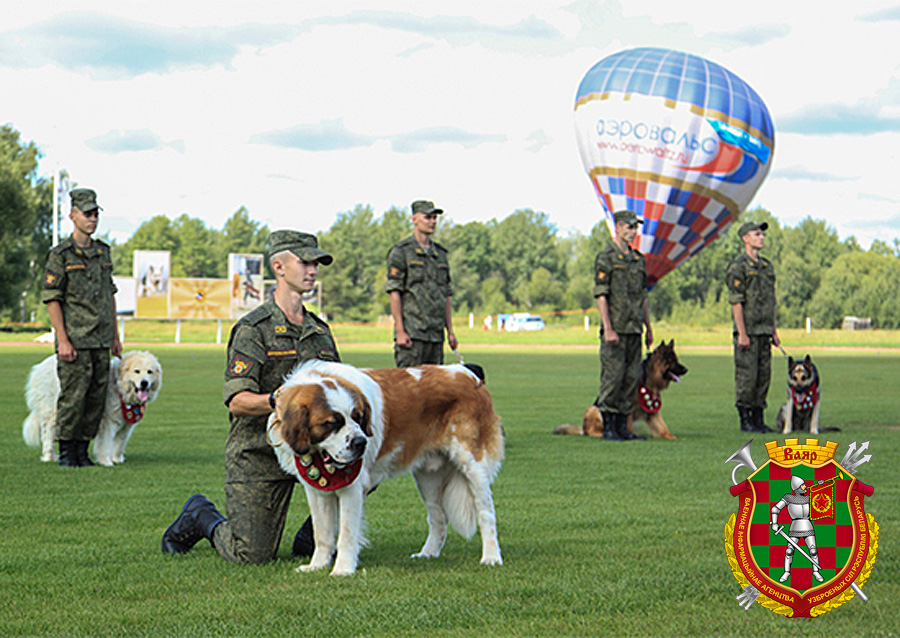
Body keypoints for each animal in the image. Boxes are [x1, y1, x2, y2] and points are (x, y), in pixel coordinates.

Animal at [22, 352, 163, 468]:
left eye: (149, 372)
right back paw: (50, 457)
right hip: (54, 413)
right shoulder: (108, 423)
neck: (119, 386)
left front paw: (117, 459)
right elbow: (105, 444)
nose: (144, 383)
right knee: (48, 436)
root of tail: (39, 367)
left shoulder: (126, 426)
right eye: (137, 371)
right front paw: (106, 462)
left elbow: (119, 444)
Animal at [268, 362, 506, 576]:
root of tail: (470, 375)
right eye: (331, 423)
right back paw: (428, 553)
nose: (361, 443)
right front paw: (316, 566)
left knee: (486, 512)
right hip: (428, 477)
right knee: (438, 517)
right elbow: (322, 533)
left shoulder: (351, 489)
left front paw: (343, 569)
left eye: (358, 417)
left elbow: (346, 533)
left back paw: (491, 557)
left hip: (473, 466)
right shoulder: (316, 491)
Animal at [548, 342, 688, 442]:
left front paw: (673, 437)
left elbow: (662, 427)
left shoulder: (652, 411)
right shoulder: (629, 407)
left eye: (677, 360)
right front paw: (630, 436)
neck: (648, 377)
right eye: (673, 362)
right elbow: (628, 424)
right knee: (593, 430)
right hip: (594, 409)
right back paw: (602, 434)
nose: (686, 369)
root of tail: (583, 428)